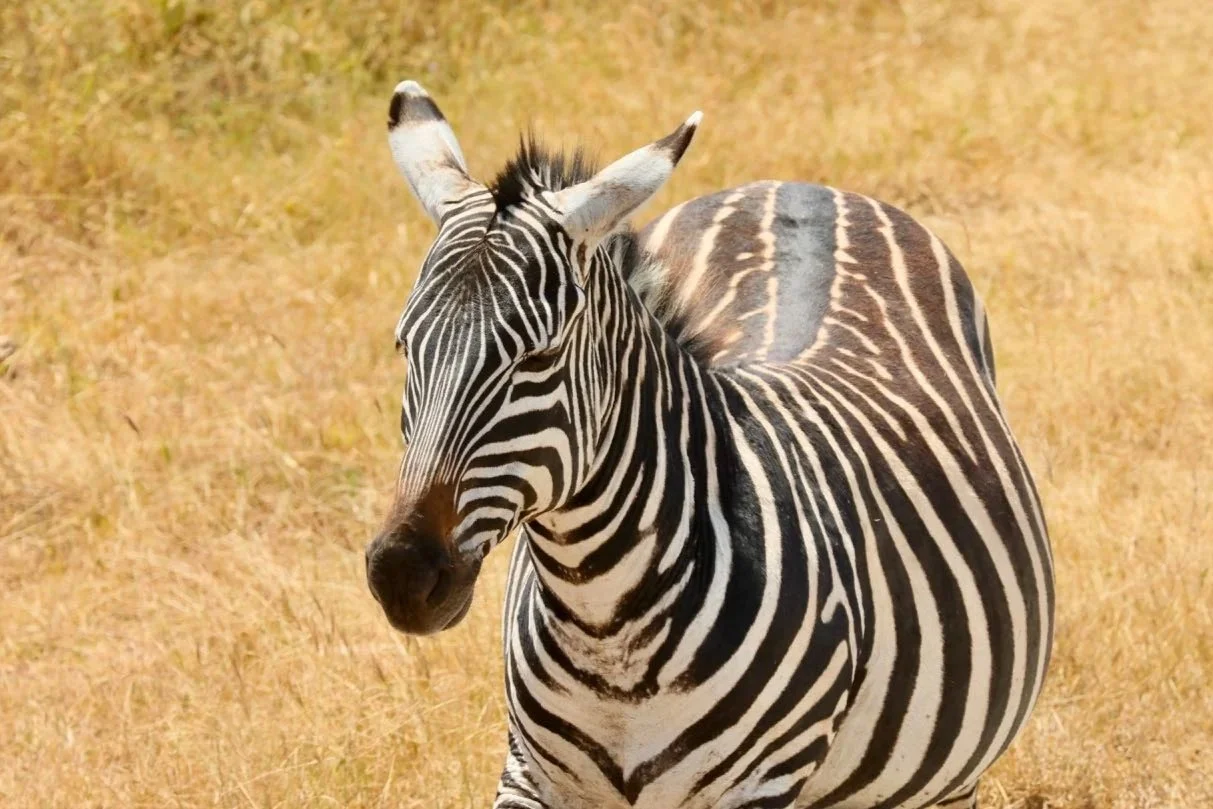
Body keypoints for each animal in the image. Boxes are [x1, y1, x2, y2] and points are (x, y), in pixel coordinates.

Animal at [364, 80, 1054, 809]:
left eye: (539, 357)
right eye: (405, 346)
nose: (403, 574)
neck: (603, 624)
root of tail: (793, 184)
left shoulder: (759, 783)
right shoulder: (529, 772)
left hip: (946, 780)